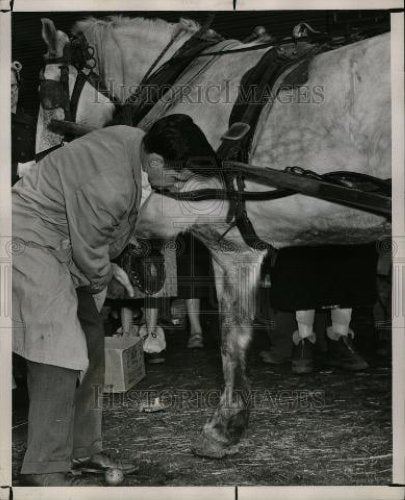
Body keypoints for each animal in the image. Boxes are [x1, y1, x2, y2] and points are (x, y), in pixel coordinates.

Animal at [36, 17, 390, 458]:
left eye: (45, 91)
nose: (38, 161)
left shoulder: (218, 236)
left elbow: (228, 337)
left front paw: (223, 425)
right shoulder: (238, 246)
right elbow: (235, 336)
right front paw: (232, 421)